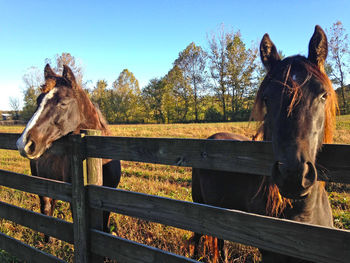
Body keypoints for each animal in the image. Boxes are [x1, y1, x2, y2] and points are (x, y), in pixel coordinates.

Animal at [16, 63, 121, 241]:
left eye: (63, 103)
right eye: (38, 101)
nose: (24, 144)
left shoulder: (108, 198)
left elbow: (104, 226)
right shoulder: (76, 203)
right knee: (46, 207)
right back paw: (48, 240)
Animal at [190, 25, 338, 263]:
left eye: (323, 95)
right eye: (267, 99)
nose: (293, 175)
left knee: (221, 240)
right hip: (198, 203)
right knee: (197, 237)